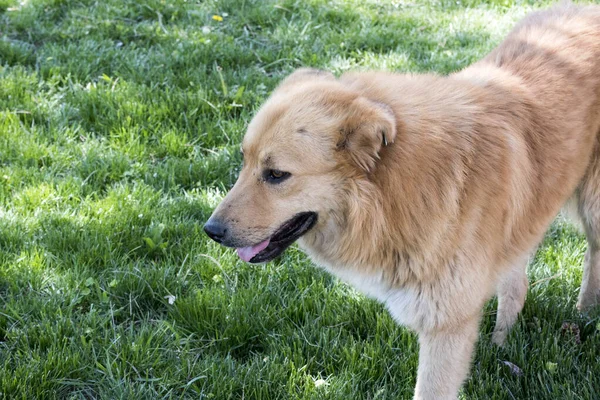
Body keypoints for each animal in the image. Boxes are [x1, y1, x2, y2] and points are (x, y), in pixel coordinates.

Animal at [204, 3, 600, 400]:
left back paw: (584, 315)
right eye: (244, 161)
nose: (210, 231)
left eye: (275, 174)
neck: (398, 193)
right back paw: (503, 343)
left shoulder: (447, 329)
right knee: (517, 285)